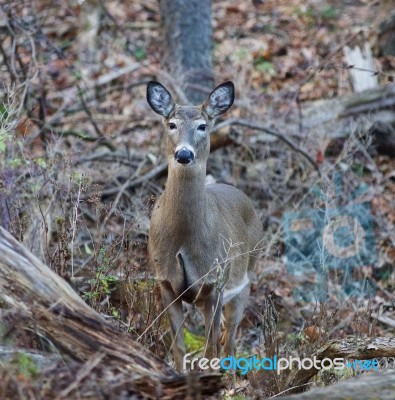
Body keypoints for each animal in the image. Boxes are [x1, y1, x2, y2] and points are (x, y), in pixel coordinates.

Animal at [145, 81, 262, 372]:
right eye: (171, 124)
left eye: (202, 126)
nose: (184, 153)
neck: (184, 238)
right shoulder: (165, 281)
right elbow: (179, 346)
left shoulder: (215, 282)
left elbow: (211, 349)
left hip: (245, 277)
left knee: (229, 339)